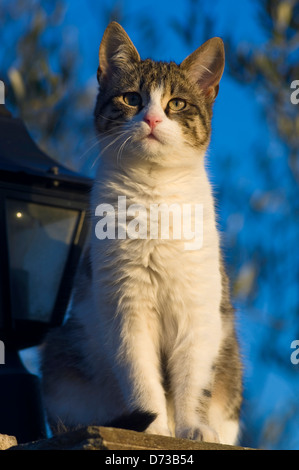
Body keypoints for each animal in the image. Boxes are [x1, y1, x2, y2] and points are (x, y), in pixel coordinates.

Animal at [41, 21, 244, 444]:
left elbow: (193, 380)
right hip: (61, 353)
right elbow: (141, 379)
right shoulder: (126, 311)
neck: (154, 194)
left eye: (177, 104)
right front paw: (156, 429)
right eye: (132, 98)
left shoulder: (198, 312)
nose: (151, 120)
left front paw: (192, 428)